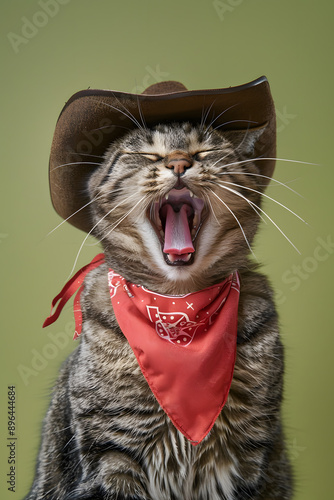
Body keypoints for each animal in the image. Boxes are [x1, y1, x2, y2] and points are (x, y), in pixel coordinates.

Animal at [25, 113, 292, 496]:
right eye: (146, 153)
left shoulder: (250, 453)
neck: (178, 311)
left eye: (204, 150)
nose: (179, 162)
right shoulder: (109, 454)